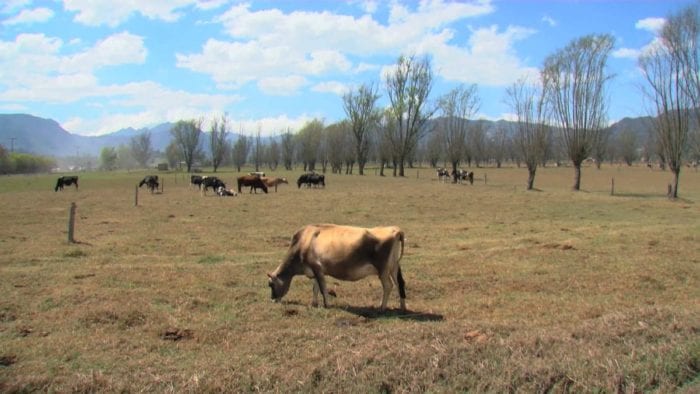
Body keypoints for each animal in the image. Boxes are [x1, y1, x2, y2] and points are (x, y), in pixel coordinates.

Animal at [266, 225, 408, 310]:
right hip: (394, 267)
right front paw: (314, 303)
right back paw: (402, 307)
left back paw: (382, 307)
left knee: (388, 286)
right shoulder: (315, 271)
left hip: (383, 270)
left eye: (271, 284)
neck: (304, 241)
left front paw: (327, 304)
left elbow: (322, 288)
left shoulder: (317, 268)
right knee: (399, 284)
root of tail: (395, 230)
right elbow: (315, 288)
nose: (272, 299)